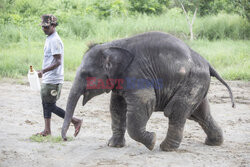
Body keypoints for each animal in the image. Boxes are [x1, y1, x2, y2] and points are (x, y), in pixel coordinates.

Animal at [61, 31, 234, 151]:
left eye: (85, 74)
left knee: (176, 111)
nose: (68, 137)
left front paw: (151, 141)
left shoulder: (136, 75)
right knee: (200, 113)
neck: (111, 45)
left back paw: (165, 148)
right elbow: (116, 107)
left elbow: (145, 102)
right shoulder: (121, 79)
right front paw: (113, 145)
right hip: (197, 83)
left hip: (192, 81)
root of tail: (208, 63)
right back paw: (213, 143)